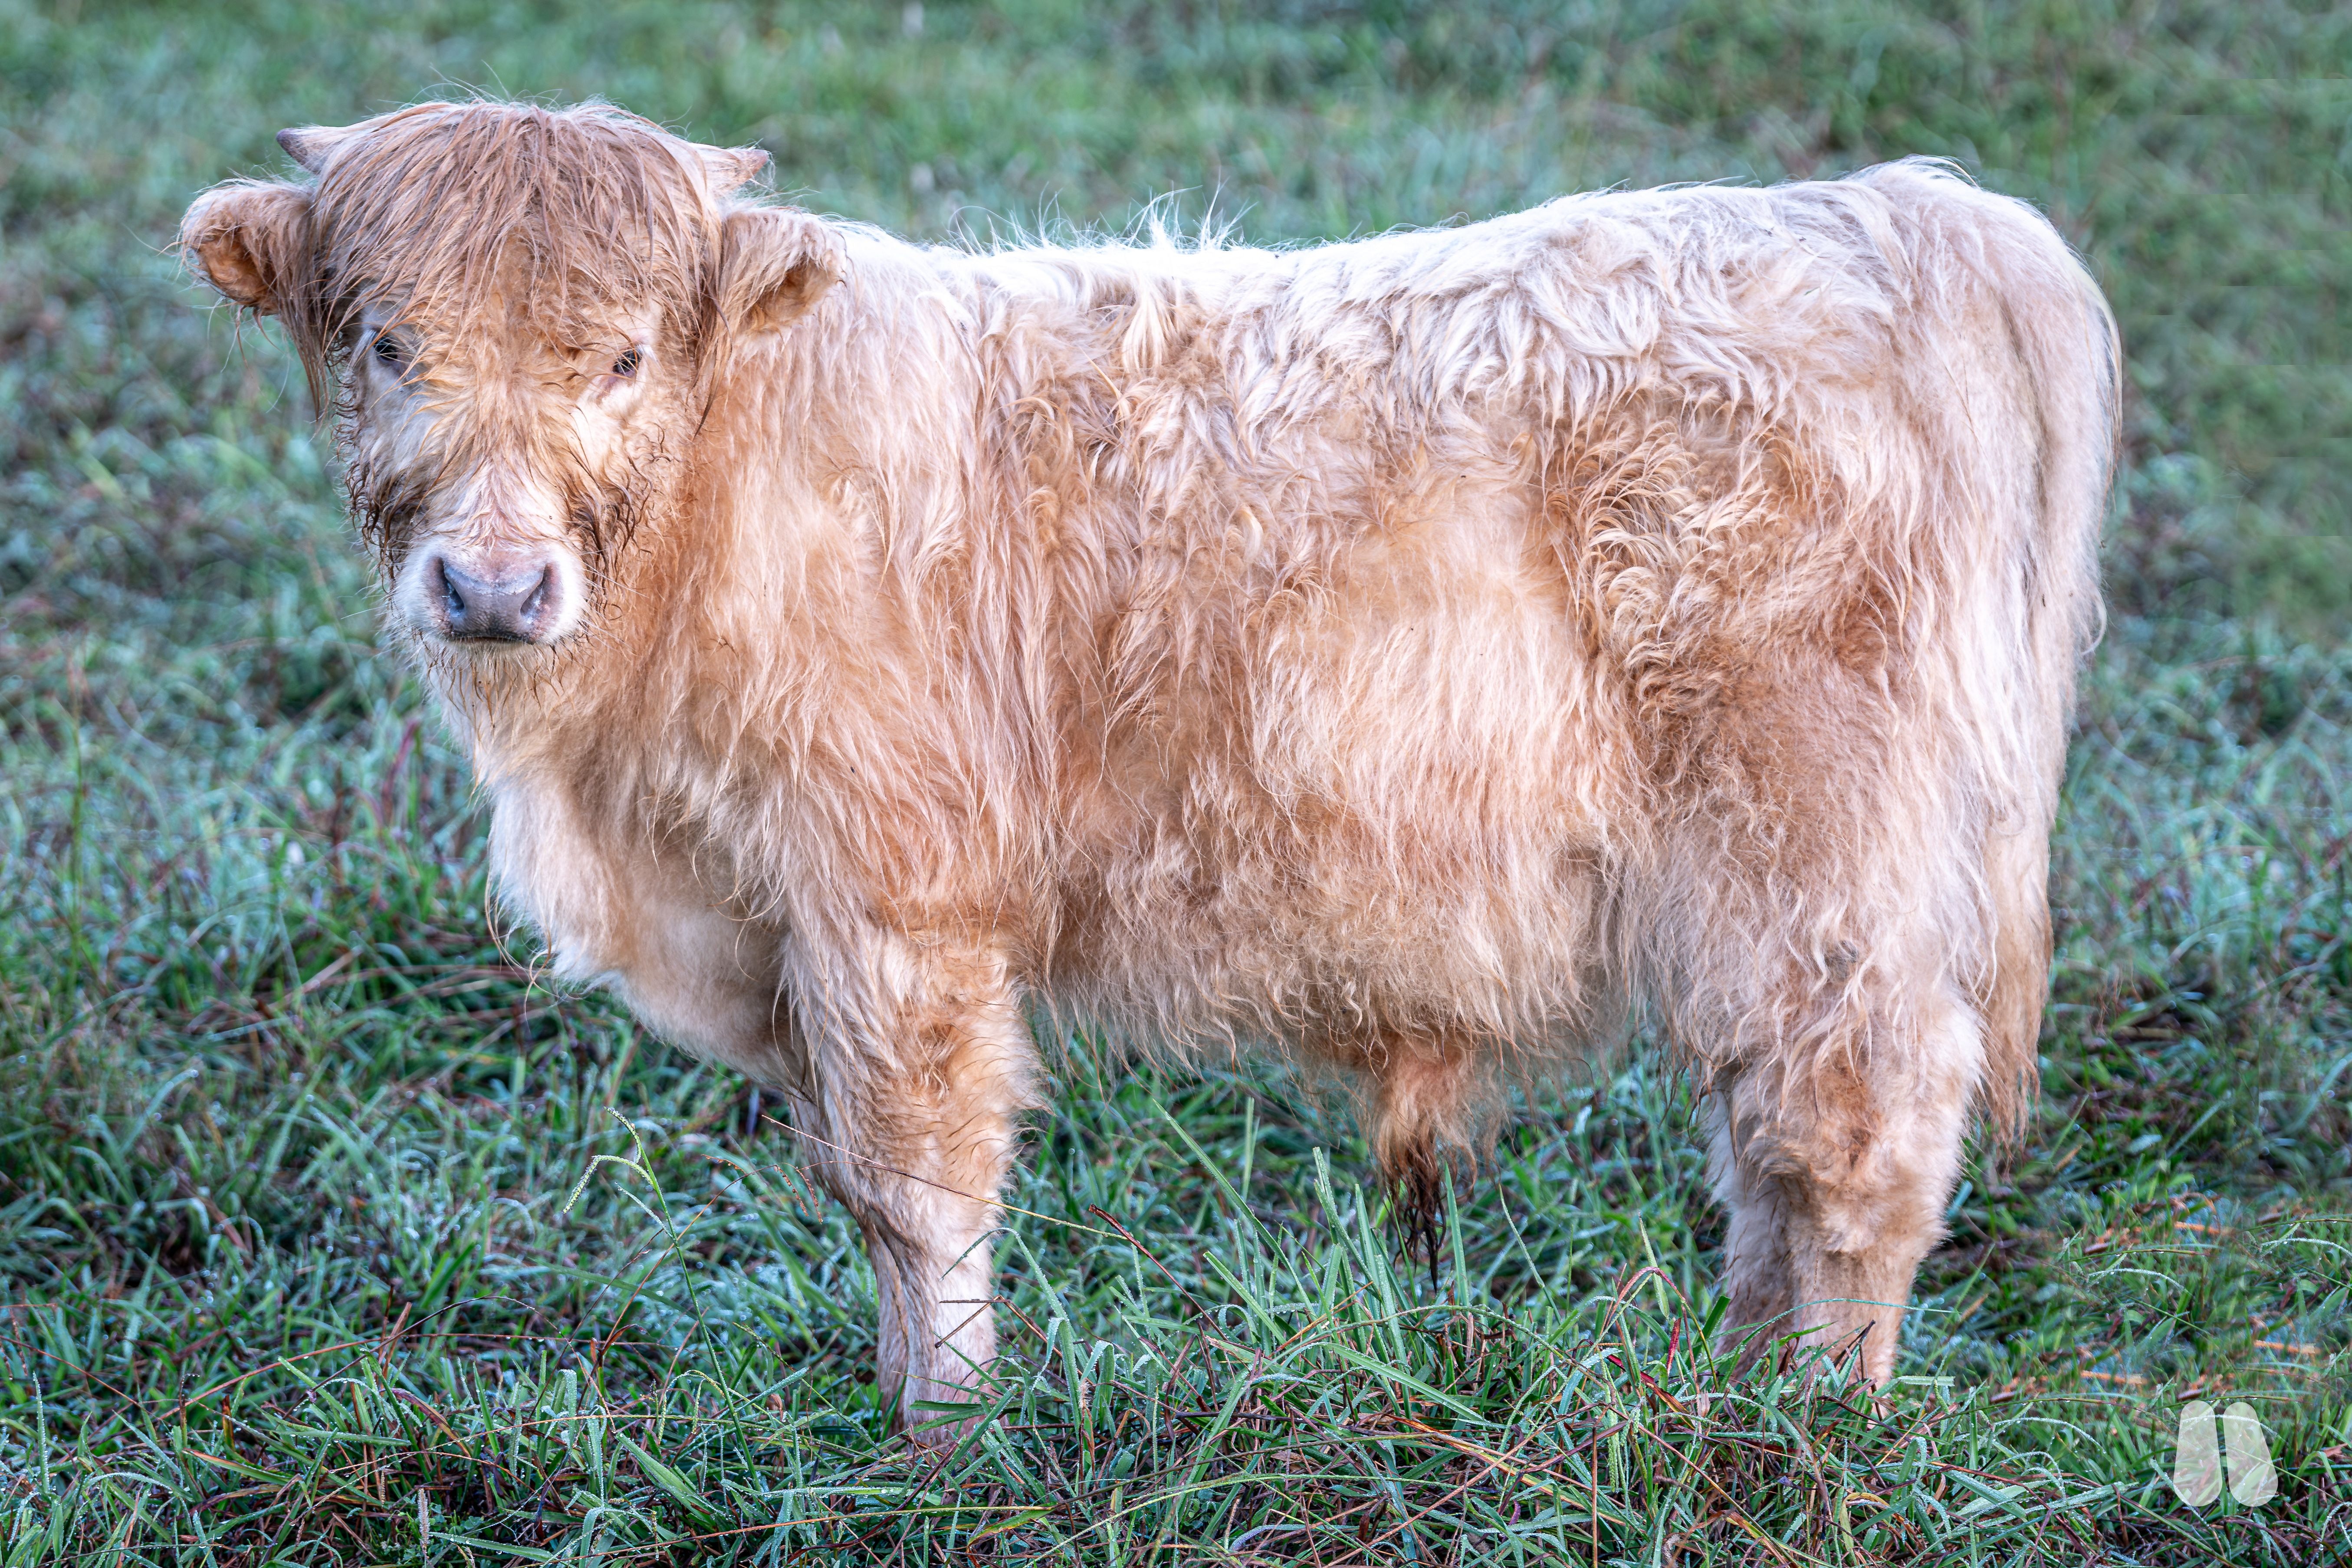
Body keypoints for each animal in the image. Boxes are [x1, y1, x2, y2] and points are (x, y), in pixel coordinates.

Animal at [180, 99, 2117, 1437]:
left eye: (624, 354)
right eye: (383, 343)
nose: (491, 584)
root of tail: (1882, 211)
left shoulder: (893, 903)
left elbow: (915, 1178)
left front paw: (939, 1439)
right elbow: (858, 1185)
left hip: (1820, 858)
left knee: (1856, 1135)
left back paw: (1804, 1433)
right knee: (1765, 1145)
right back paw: (1730, 1388)